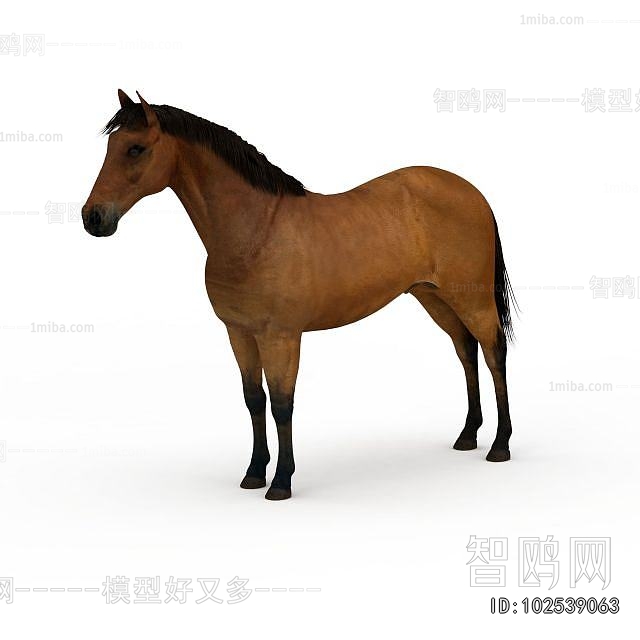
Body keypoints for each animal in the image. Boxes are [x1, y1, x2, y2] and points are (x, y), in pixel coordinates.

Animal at [82, 90, 517, 500]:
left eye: (136, 148)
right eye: (111, 145)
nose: (93, 218)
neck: (255, 232)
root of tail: (472, 192)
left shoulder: (281, 337)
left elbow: (281, 404)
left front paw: (281, 482)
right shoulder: (239, 333)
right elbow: (254, 399)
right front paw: (254, 473)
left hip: (472, 300)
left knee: (493, 352)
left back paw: (499, 445)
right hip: (434, 297)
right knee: (466, 350)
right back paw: (467, 436)